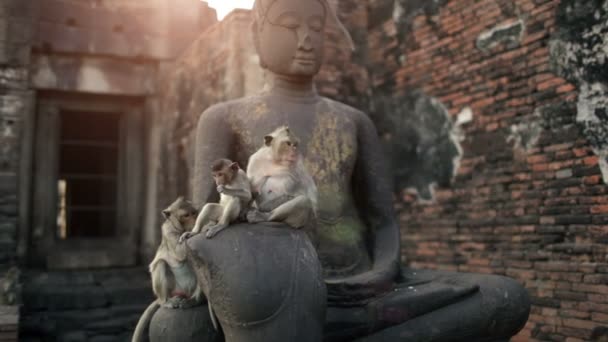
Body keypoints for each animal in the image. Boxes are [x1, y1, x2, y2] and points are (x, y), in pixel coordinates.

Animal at [132, 198, 205, 342]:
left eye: (194, 213)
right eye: (186, 215)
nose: (195, 220)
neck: (180, 228)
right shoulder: (167, 230)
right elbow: (179, 252)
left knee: (199, 265)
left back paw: (194, 301)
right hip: (171, 290)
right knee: (161, 264)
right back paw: (166, 302)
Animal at [189, 0, 528, 340]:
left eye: (316, 27)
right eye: (289, 25)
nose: (306, 44)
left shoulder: (363, 124)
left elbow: (378, 214)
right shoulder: (215, 121)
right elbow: (219, 194)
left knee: (505, 294)